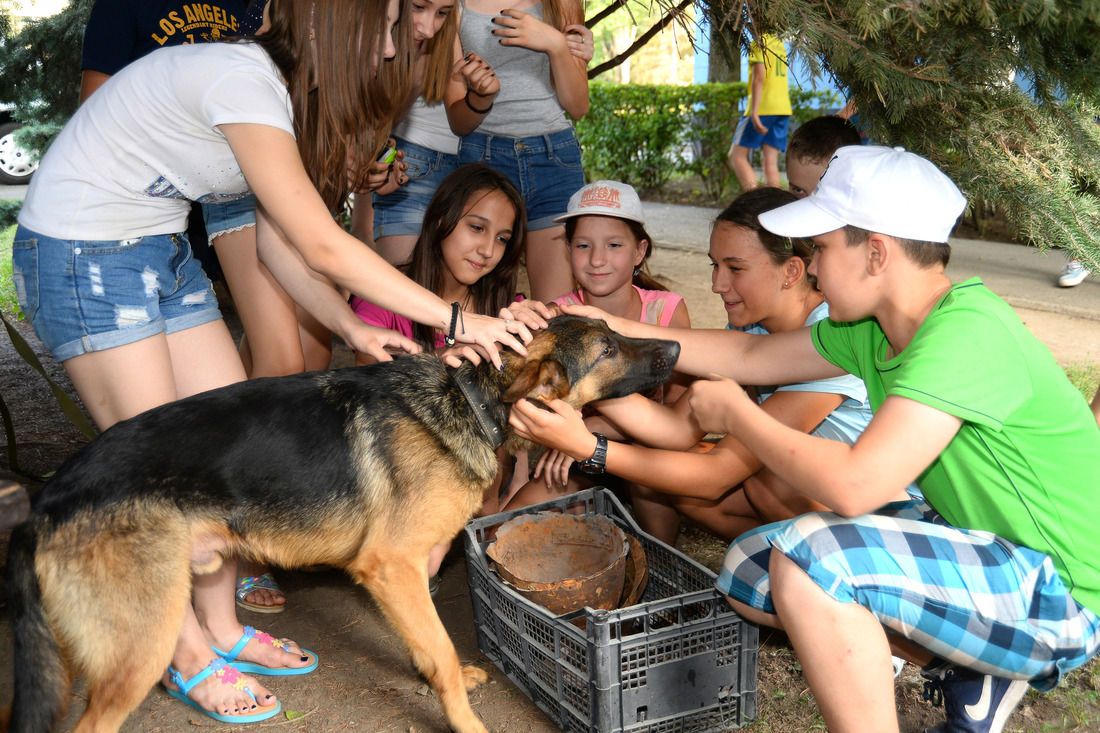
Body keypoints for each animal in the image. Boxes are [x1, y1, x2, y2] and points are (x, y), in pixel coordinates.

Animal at [4, 314, 677, 730]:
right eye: (607, 348)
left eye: (613, 330)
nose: (674, 347)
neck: (470, 399)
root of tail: (50, 497)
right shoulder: (390, 567)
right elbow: (438, 642)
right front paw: (463, 719)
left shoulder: (409, 572)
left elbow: (430, 645)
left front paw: (445, 679)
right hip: (141, 643)